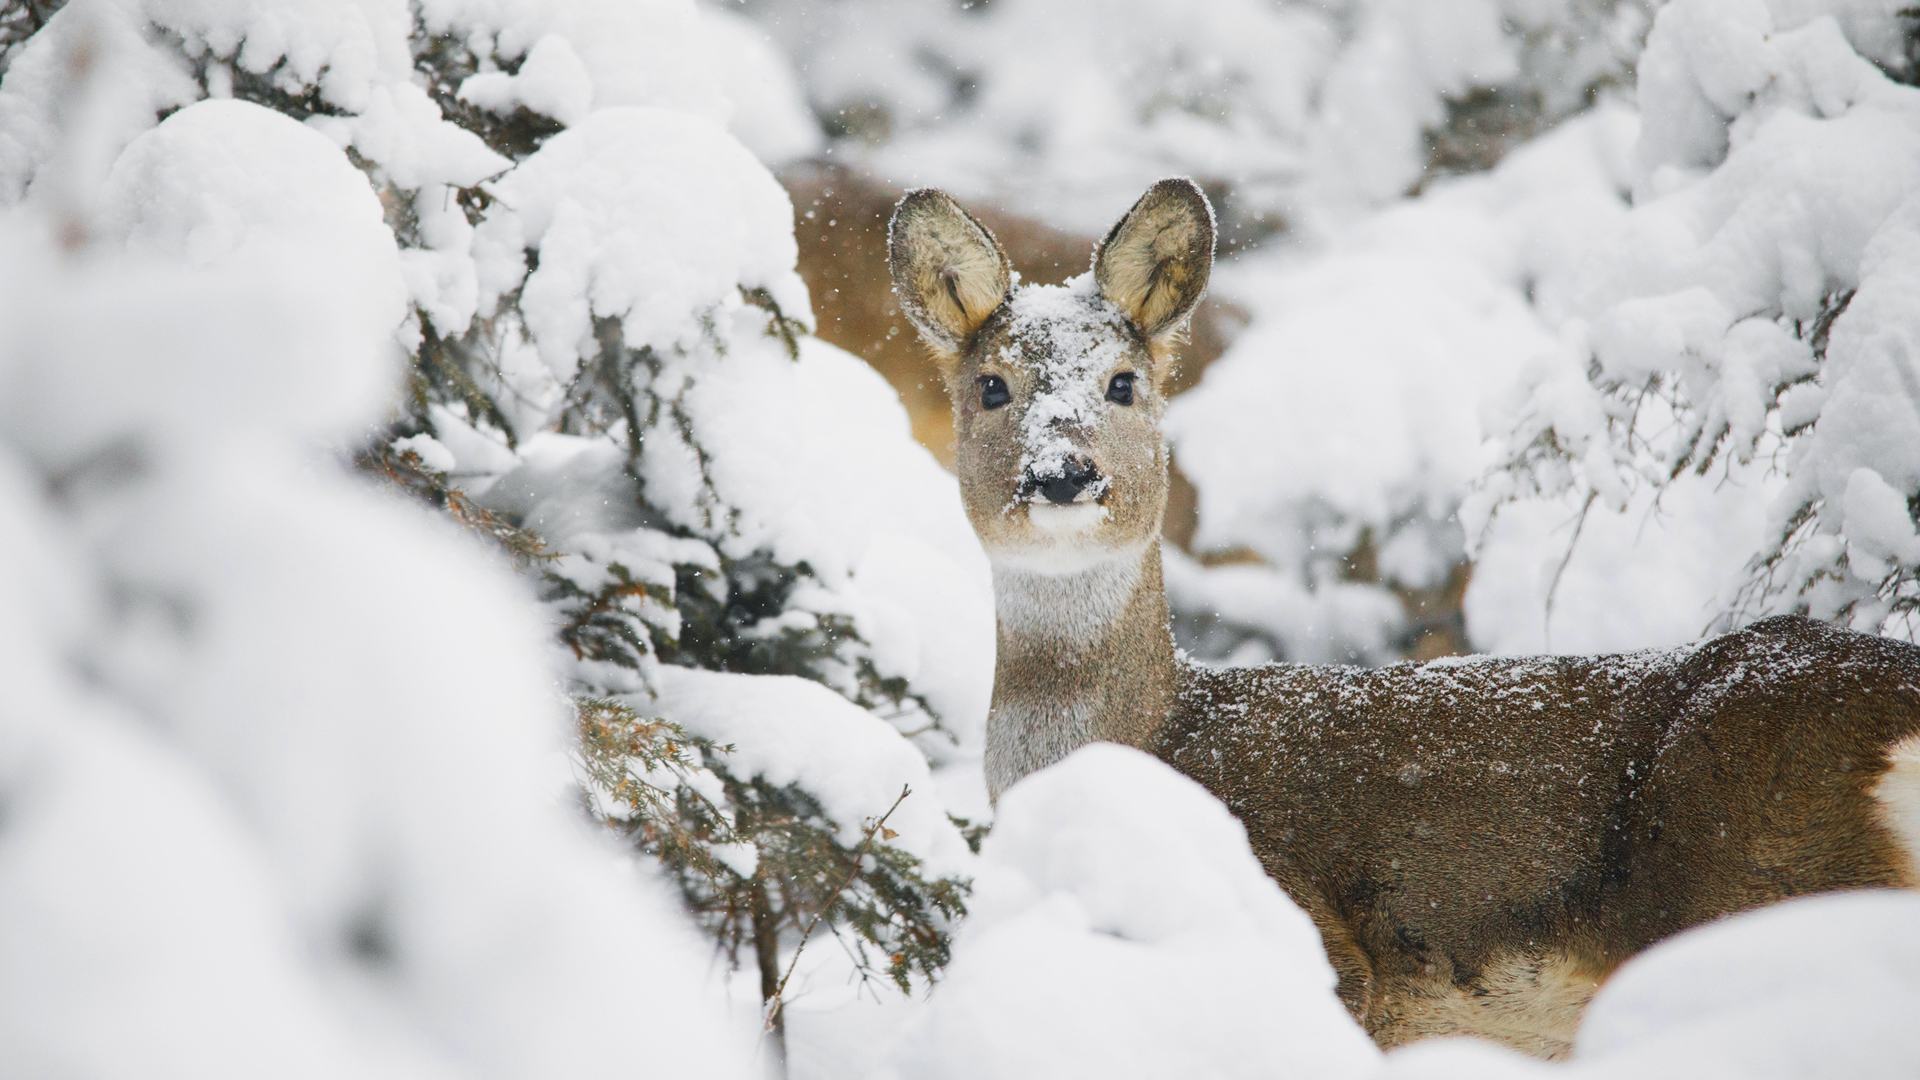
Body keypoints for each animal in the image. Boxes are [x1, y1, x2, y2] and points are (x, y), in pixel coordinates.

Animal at [890, 178, 1920, 1060]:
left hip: (1767, 880)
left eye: (1121, 382)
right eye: (990, 386)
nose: (1062, 475)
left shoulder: (1318, 949)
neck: (1146, 737)